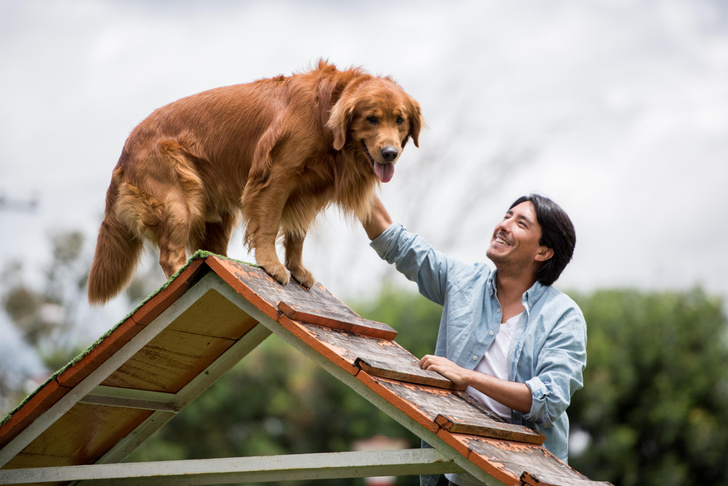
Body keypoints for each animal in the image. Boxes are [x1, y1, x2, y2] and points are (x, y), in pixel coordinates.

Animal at [88, 59, 424, 304]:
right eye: (371, 118)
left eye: (399, 119)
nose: (390, 153)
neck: (324, 114)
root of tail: (126, 150)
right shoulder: (275, 177)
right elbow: (269, 226)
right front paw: (272, 265)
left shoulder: (308, 193)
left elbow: (297, 236)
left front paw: (297, 268)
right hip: (180, 203)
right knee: (170, 254)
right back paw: (179, 275)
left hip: (217, 218)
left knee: (208, 251)